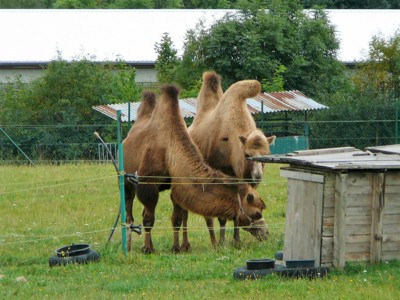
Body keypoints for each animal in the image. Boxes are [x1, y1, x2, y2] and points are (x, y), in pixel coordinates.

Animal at [122, 86, 266, 253]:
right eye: (256, 213)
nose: (265, 232)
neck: (171, 149)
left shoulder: (177, 184)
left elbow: (177, 218)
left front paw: (176, 247)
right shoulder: (147, 183)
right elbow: (148, 219)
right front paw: (147, 249)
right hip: (126, 181)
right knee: (129, 214)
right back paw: (129, 246)